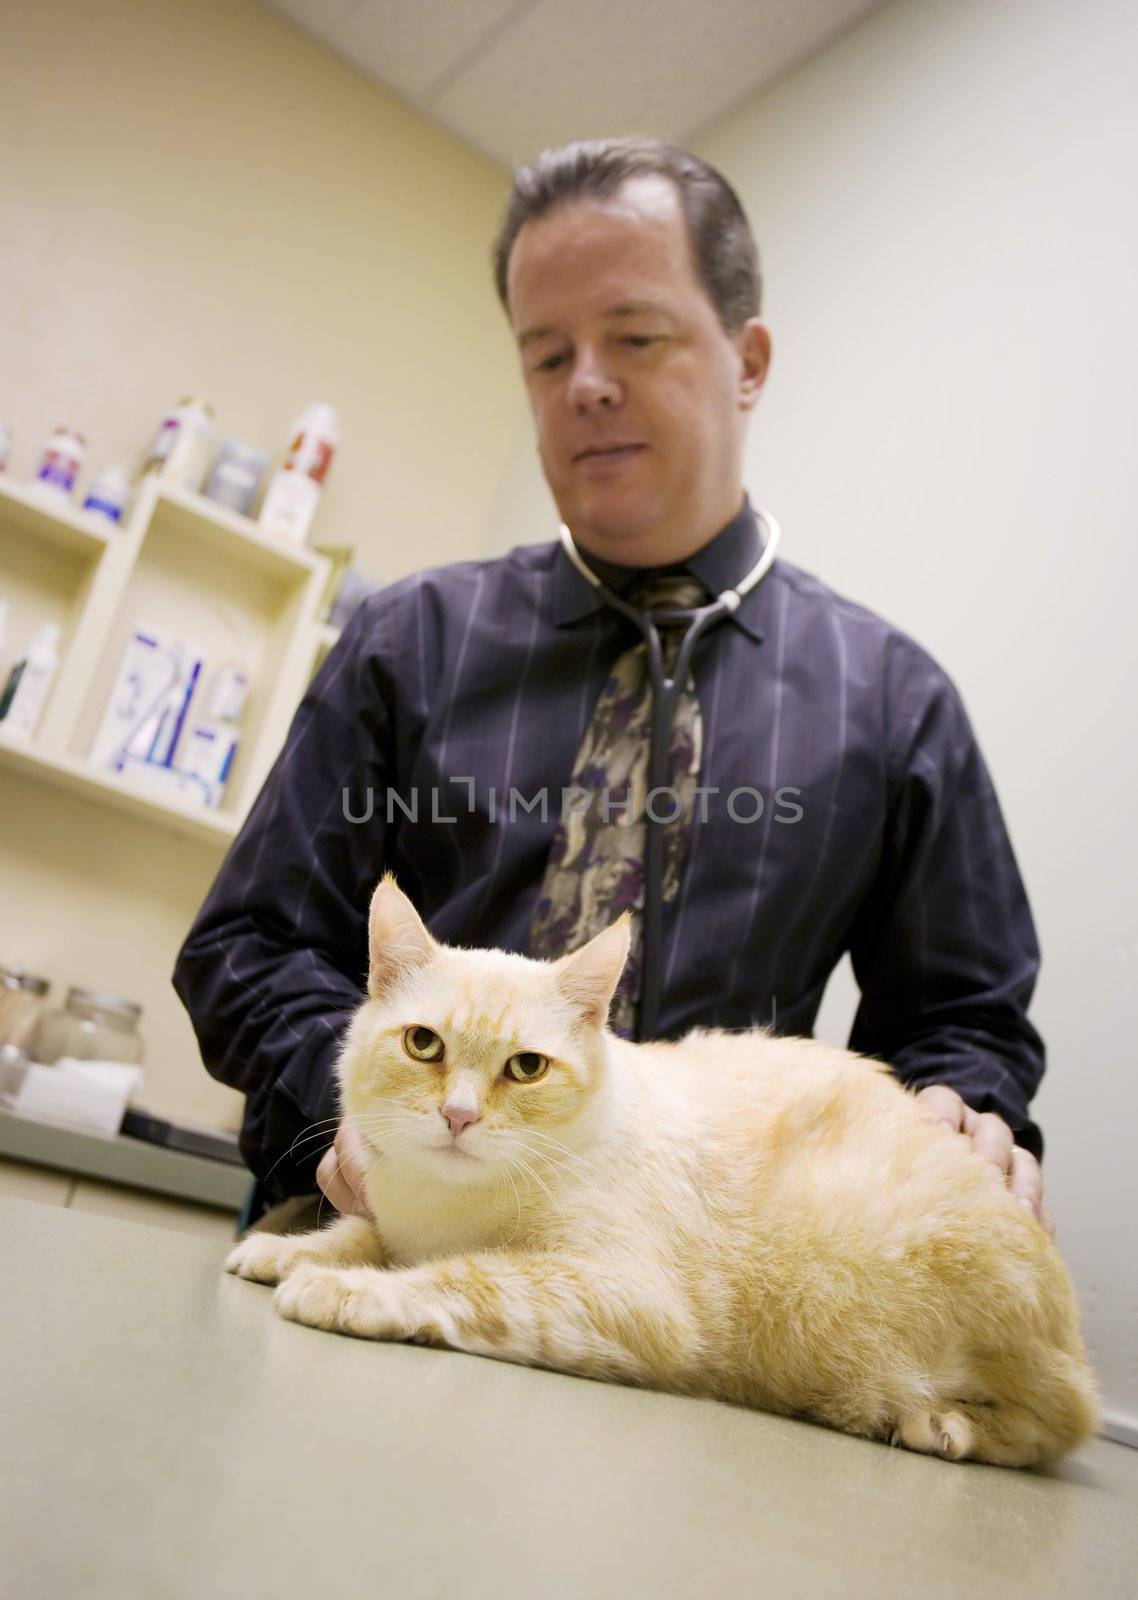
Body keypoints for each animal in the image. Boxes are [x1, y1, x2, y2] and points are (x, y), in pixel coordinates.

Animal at [224, 870, 1101, 1465]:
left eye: (526, 1068)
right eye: (423, 1044)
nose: (459, 1116)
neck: (450, 1204)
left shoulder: (626, 1294)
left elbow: (466, 1280)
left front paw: (345, 1289)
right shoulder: (398, 1218)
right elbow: (365, 1234)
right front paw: (287, 1250)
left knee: (1060, 1422)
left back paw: (942, 1424)